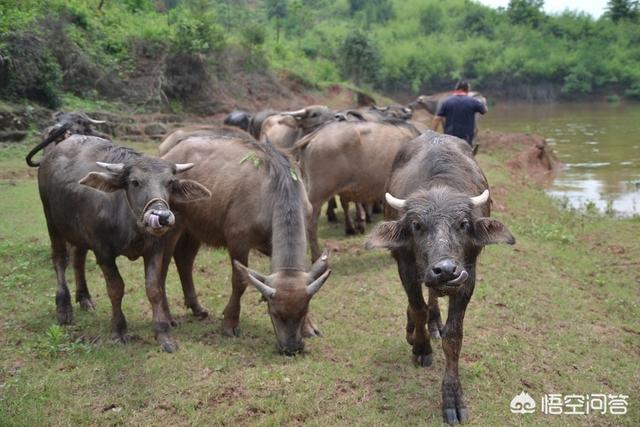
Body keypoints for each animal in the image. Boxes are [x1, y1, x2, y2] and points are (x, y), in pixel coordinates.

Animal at [37, 134, 210, 352]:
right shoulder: (103, 253)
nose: (162, 217)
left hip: (79, 233)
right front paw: (119, 330)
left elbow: (154, 289)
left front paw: (163, 333)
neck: (130, 223)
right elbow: (116, 289)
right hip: (52, 223)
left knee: (78, 259)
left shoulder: (155, 250)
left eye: (170, 183)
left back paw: (84, 299)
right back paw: (63, 308)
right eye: (135, 182)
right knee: (60, 260)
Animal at [160, 129, 332, 356]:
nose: (291, 348)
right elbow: (240, 282)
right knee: (162, 268)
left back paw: (197, 307)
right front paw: (230, 323)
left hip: (194, 227)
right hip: (173, 226)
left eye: (304, 311)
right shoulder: (238, 242)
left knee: (184, 260)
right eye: (275, 313)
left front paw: (309, 327)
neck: (276, 189)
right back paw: (168, 317)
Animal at [364, 130, 516, 424]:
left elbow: (453, 336)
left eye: (463, 224)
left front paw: (452, 397)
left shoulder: (467, 276)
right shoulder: (405, 266)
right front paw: (421, 347)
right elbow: (417, 308)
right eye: (416, 225)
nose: (445, 269)